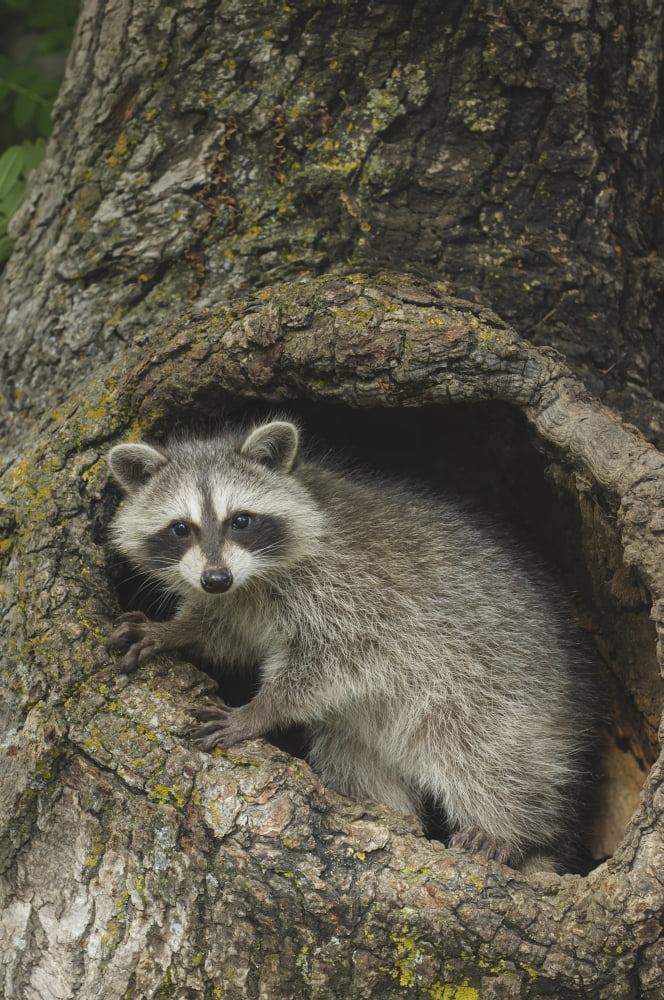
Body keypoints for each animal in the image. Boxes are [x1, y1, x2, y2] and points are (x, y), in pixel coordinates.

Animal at [106, 419, 592, 869]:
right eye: (180, 529)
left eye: (240, 520)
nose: (215, 578)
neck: (252, 580)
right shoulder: (237, 601)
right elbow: (222, 631)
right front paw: (173, 631)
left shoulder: (353, 593)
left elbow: (336, 661)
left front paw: (259, 710)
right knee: (354, 760)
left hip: (496, 694)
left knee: (486, 760)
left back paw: (513, 832)